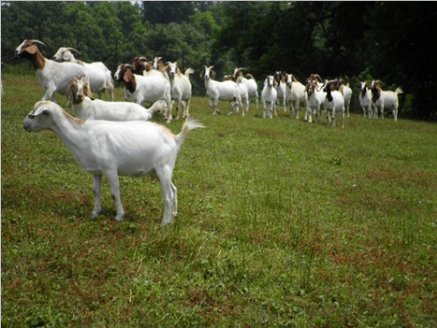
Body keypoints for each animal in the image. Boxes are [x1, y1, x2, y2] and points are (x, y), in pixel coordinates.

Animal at [24, 101, 206, 227]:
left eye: (35, 114)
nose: (24, 124)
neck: (83, 135)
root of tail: (175, 138)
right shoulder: (97, 171)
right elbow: (96, 191)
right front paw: (95, 212)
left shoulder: (110, 168)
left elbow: (114, 192)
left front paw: (119, 216)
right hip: (158, 172)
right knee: (173, 189)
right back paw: (174, 215)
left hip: (163, 168)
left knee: (167, 196)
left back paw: (164, 223)